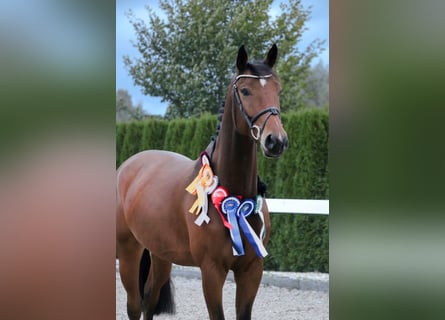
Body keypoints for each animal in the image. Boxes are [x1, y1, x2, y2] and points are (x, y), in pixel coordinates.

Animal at [115, 45, 288, 320]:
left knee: (150, 299)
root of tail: (127, 167)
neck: (234, 196)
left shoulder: (252, 270)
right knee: (134, 305)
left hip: (161, 255)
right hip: (128, 251)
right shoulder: (211, 271)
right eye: (245, 90)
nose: (276, 141)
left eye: (277, 90)